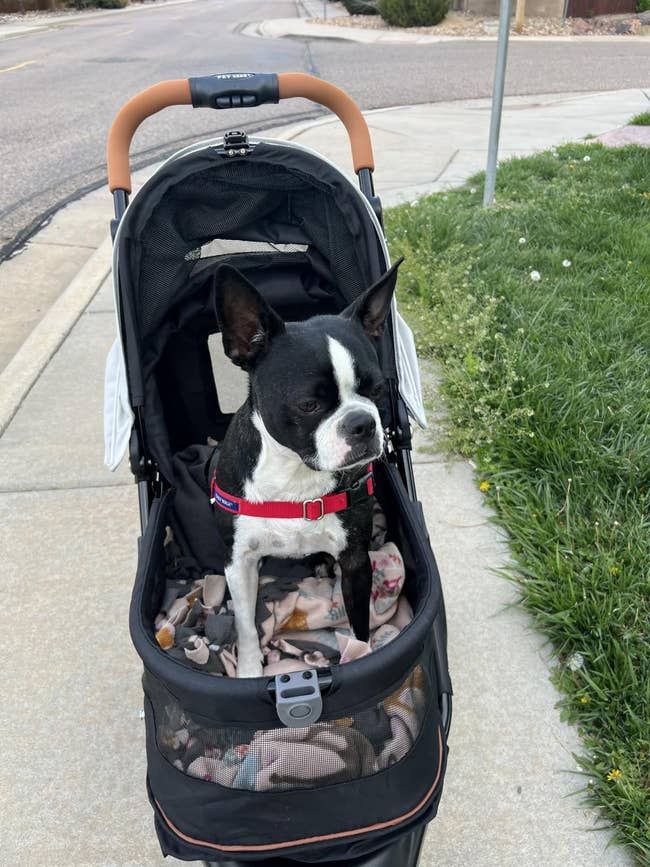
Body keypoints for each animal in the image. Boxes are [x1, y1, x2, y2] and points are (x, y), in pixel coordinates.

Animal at [211, 259, 402, 678]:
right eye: (309, 405)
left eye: (378, 391)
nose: (363, 423)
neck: (295, 474)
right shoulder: (238, 562)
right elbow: (245, 624)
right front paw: (248, 670)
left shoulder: (355, 561)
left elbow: (359, 623)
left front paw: (361, 659)